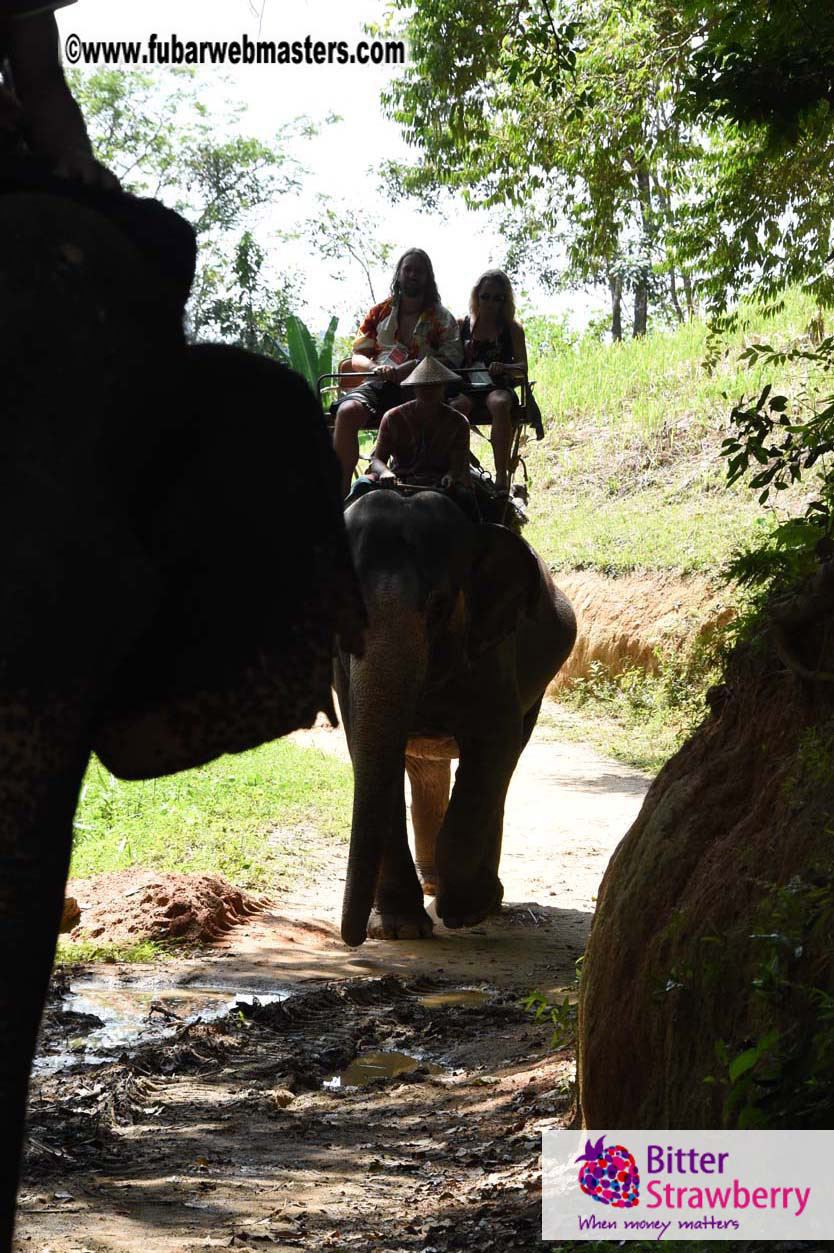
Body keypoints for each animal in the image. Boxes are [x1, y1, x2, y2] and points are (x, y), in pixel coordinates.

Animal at [335, 486, 576, 946]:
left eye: (440, 606)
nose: (352, 939)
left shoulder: (493, 656)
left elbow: (494, 746)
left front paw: (464, 911)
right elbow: (366, 750)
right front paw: (399, 929)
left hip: (536, 685)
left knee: (503, 769)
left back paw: (480, 898)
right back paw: (433, 885)